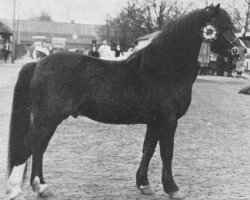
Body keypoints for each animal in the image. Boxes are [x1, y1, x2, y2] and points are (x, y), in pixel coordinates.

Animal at [6, 4, 246, 200]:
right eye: (220, 27)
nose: (242, 51)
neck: (163, 71)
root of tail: (38, 63)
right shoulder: (168, 121)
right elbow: (166, 152)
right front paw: (173, 188)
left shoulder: (155, 121)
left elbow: (148, 149)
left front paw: (144, 184)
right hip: (47, 118)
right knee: (29, 146)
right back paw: (16, 189)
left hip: (46, 120)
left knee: (38, 147)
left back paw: (41, 187)